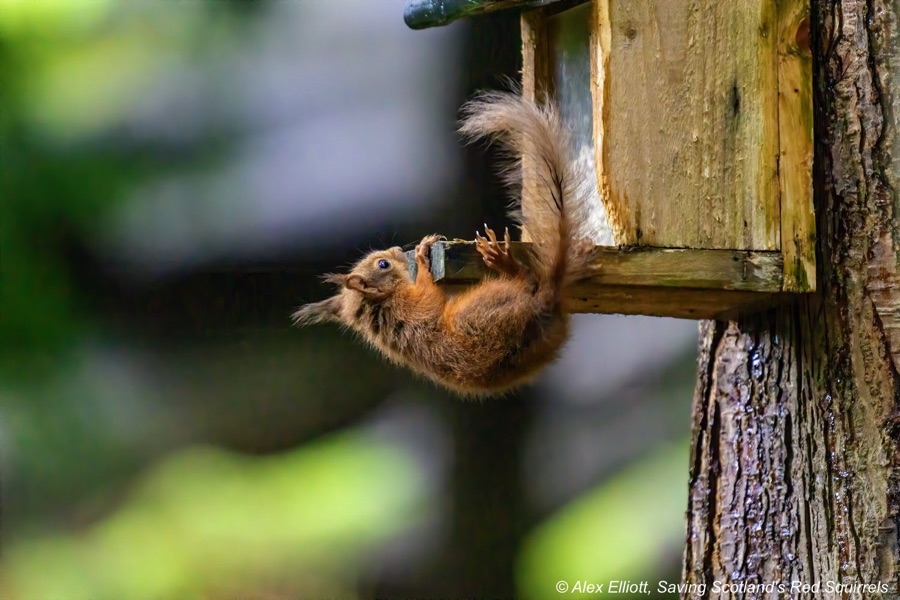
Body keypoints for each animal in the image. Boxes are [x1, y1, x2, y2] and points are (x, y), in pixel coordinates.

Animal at [292, 92, 596, 396]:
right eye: (383, 264)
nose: (397, 250)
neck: (383, 305)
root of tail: (544, 304)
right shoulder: (414, 308)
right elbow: (428, 293)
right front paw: (422, 256)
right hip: (482, 310)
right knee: (527, 279)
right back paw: (503, 261)